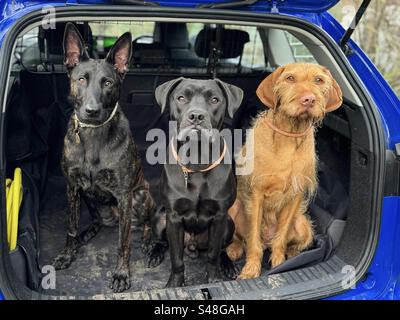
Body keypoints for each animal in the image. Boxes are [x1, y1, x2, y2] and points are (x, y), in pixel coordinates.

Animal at [51, 22, 155, 292]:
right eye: (81, 79)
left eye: (107, 82)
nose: (91, 111)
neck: (93, 134)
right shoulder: (72, 187)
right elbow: (71, 227)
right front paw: (67, 254)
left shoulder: (124, 194)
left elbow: (123, 243)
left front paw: (121, 274)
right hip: (88, 198)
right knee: (96, 221)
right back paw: (86, 234)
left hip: (140, 196)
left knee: (147, 224)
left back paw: (149, 242)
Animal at [145, 77, 242, 288]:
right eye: (181, 98)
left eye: (214, 100)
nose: (196, 116)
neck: (197, 160)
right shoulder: (173, 218)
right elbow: (176, 258)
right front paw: (175, 284)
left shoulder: (220, 217)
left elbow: (213, 254)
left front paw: (214, 279)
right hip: (159, 217)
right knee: (162, 241)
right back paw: (154, 253)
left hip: (229, 224)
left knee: (222, 249)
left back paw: (228, 265)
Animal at [227, 62, 342, 278]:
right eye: (290, 78)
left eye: (319, 80)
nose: (309, 99)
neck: (290, 133)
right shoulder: (256, 193)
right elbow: (252, 239)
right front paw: (251, 269)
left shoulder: (296, 195)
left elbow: (281, 238)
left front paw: (279, 263)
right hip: (234, 209)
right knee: (243, 239)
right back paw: (235, 249)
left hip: (303, 224)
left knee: (288, 242)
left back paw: (294, 255)